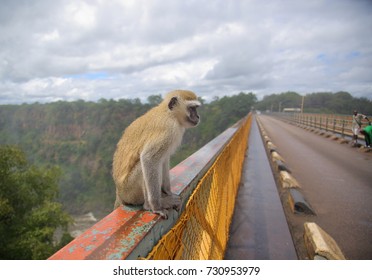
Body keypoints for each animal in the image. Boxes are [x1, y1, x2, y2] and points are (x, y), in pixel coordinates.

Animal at [112, 89, 201, 219]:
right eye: (192, 108)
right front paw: (156, 206)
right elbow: (149, 159)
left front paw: (168, 191)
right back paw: (149, 205)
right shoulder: (169, 129)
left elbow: (164, 159)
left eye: (196, 108)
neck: (169, 114)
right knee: (143, 167)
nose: (198, 116)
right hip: (130, 191)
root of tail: (119, 193)